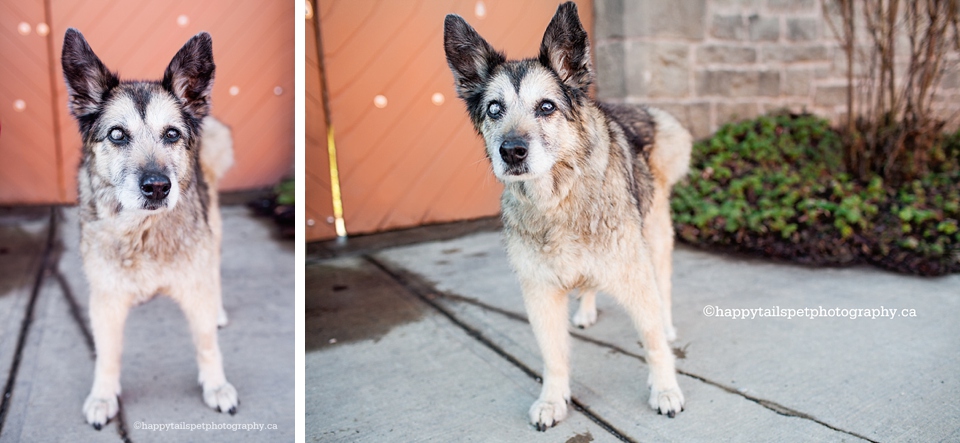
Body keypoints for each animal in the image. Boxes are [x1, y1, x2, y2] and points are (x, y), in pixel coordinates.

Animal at [62, 27, 238, 430]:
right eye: (116, 135)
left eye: (171, 134)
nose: (157, 187)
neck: (140, 233)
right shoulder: (105, 300)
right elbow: (107, 354)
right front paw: (103, 395)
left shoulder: (193, 287)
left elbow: (206, 343)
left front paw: (216, 386)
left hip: (214, 229)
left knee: (214, 269)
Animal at [442, 1, 688, 432]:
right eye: (494, 109)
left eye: (547, 107)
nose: (512, 151)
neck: (557, 198)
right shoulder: (540, 292)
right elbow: (553, 356)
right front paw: (553, 399)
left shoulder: (635, 277)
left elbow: (653, 341)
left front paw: (664, 389)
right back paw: (587, 311)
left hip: (656, 239)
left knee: (664, 290)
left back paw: (669, 323)